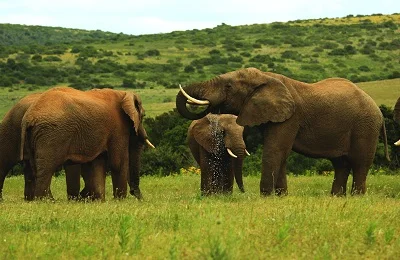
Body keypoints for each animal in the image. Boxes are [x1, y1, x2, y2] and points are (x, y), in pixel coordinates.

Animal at [20, 87, 155, 199]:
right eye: (143, 116)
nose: (137, 195)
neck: (123, 94)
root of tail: (28, 117)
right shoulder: (118, 127)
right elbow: (118, 162)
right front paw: (120, 200)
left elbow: (97, 163)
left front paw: (100, 201)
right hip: (52, 134)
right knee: (47, 168)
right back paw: (44, 201)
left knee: (36, 167)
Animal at [177, 68, 390, 196]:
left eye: (228, 86)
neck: (265, 77)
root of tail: (378, 111)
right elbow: (281, 153)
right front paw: (280, 196)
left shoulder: (290, 117)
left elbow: (275, 150)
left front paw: (266, 196)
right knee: (341, 164)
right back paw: (336, 197)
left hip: (365, 126)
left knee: (360, 163)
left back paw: (356, 197)